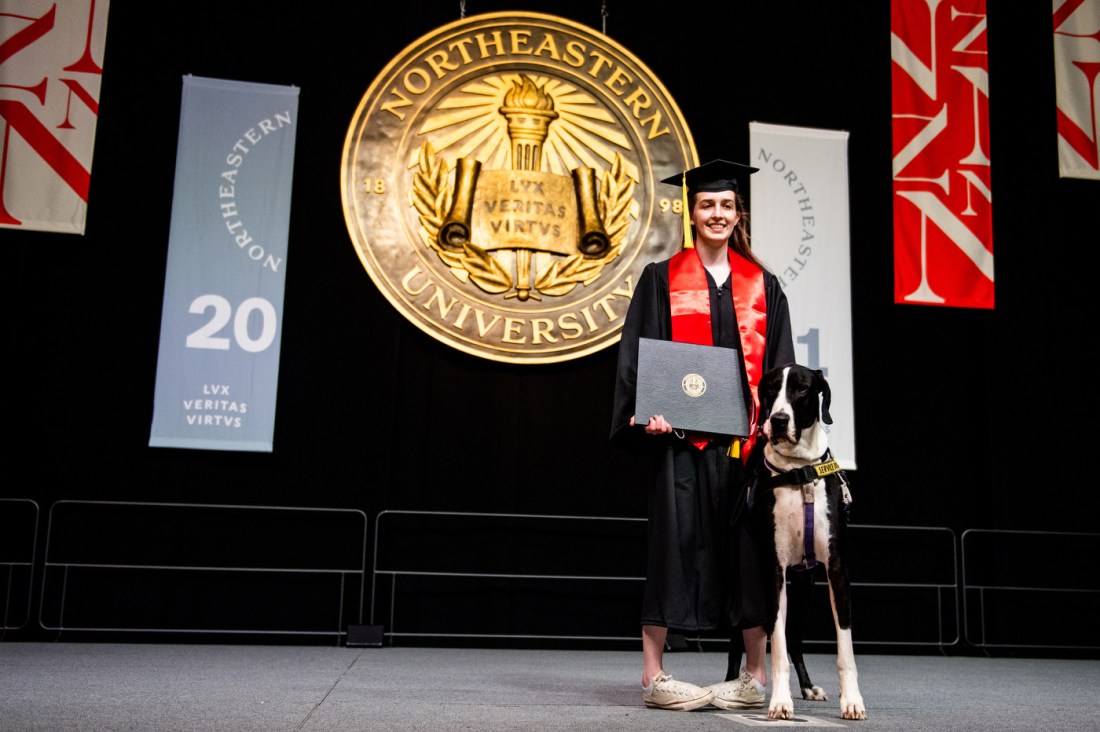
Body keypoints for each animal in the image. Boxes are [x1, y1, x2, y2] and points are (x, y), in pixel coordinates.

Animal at [756, 363, 866, 717]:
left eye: (803, 388)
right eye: (770, 388)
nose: (778, 420)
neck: (799, 470)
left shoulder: (837, 569)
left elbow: (845, 647)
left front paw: (853, 701)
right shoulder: (774, 571)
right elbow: (776, 645)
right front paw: (780, 701)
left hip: (805, 585)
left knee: (795, 637)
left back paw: (808, 687)